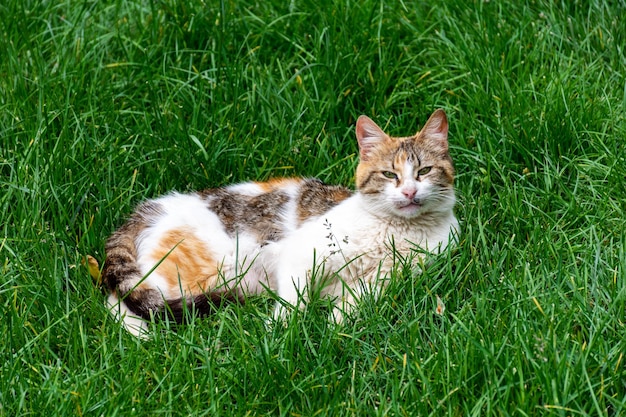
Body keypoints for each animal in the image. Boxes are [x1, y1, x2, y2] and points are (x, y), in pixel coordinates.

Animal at [100, 109, 456, 336]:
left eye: (424, 171)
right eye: (389, 174)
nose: (409, 191)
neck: (395, 232)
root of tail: (147, 210)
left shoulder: (387, 278)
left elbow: (352, 303)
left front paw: (333, 328)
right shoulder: (302, 253)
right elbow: (293, 299)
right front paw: (281, 330)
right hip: (187, 271)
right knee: (121, 298)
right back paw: (141, 335)